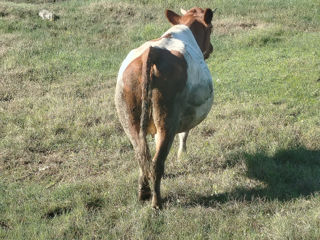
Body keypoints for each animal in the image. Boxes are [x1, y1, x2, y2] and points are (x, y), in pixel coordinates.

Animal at [115, 5, 218, 208]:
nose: (210, 48)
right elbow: (184, 134)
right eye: (211, 28)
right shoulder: (186, 114)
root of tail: (151, 52)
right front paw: (182, 155)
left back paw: (143, 193)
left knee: (143, 157)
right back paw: (157, 202)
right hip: (167, 120)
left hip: (129, 118)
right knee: (156, 162)